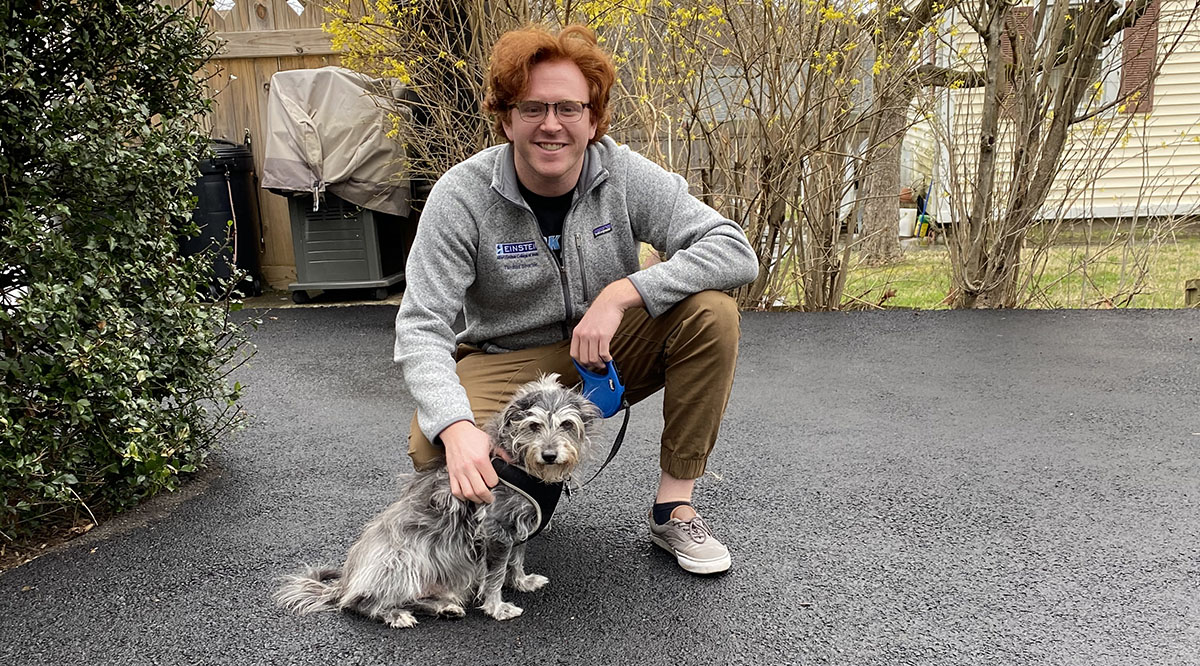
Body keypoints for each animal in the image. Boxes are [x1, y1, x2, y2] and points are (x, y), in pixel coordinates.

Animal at [273, 374, 600, 628]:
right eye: (533, 426)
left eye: (566, 424)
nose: (549, 455)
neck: (521, 464)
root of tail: (344, 583)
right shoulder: (496, 531)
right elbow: (494, 577)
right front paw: (497, 607)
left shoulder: (518, 529)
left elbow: (516, 560)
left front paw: (521, 581)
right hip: (401, 559)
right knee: (359, 602)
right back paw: (393, 614)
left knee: (416, 597)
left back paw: (443, 607)